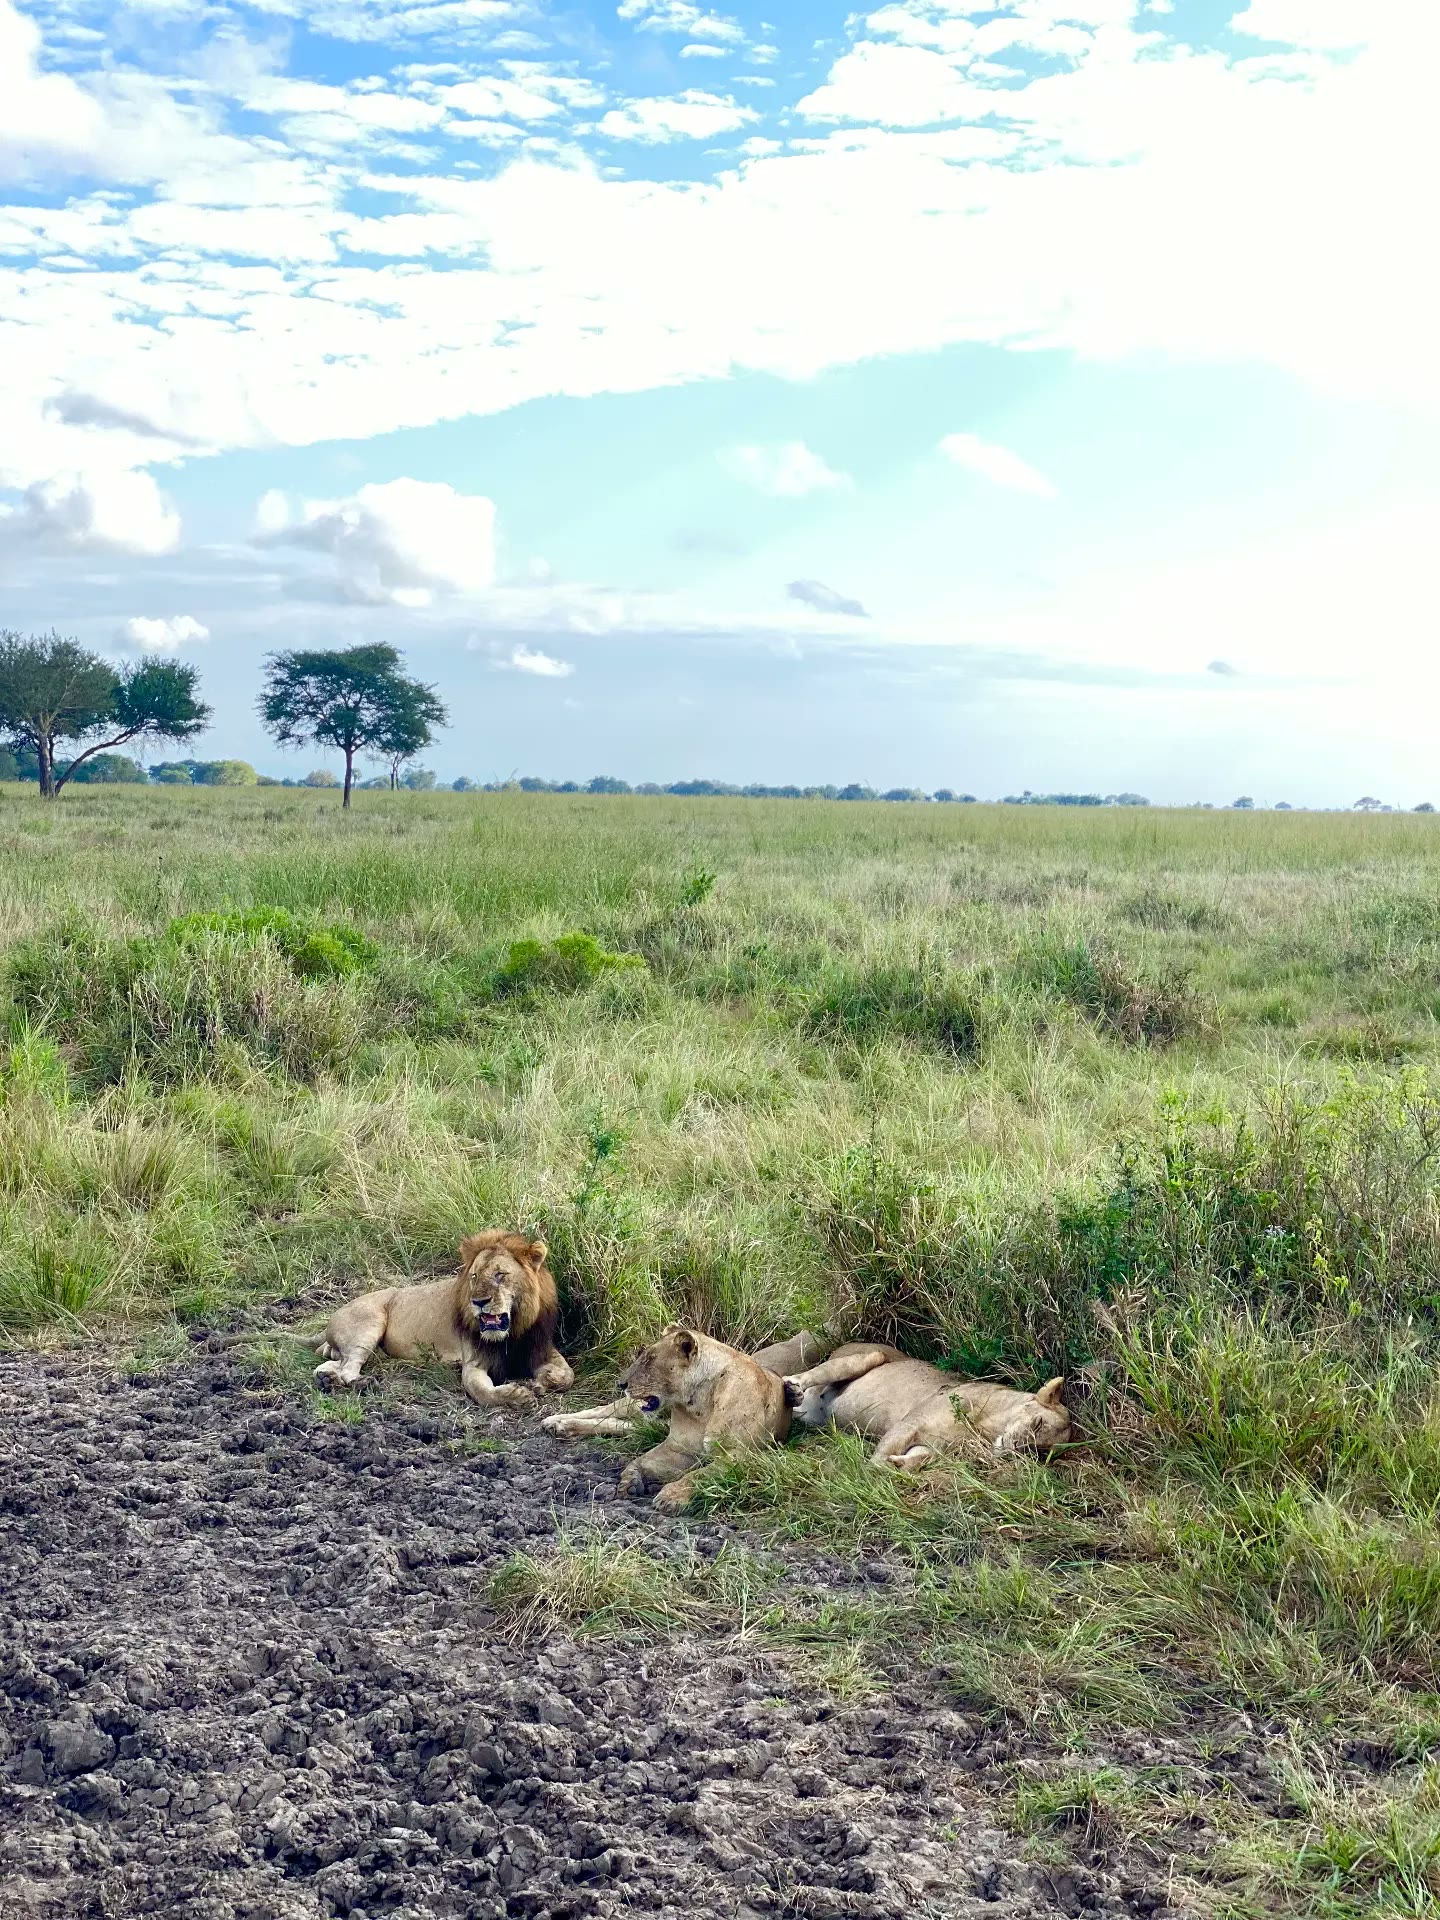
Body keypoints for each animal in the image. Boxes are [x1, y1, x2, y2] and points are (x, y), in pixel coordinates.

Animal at [313, 1231, 573, 1410]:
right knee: (348, 1368)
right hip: (369, 1324)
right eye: (474, 1276)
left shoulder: (540, 1348)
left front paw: (541, 1381)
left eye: (500, 1275)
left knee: (334, 1364)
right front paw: (518, 1396)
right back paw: (361, 1383)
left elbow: (568, 1376)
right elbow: (482, 1392)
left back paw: (327, 1379)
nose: (478, 1301)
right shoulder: (474, 1363)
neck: (513, 1333)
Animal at [541, 1325, 797, 1511]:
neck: (700, 1402)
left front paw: (671, 1497)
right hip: (635, 1407)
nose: (621, 1384)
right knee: (604, 1411)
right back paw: (556, 1422)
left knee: (621, 1424)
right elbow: (642, 1460)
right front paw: (631, 1480)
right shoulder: (678, 1447)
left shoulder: (738, 1454)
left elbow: (700, 1474)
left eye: (649, 1361)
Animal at [785, 1343, 1071, 1467]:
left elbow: (920, 1457)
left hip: (810, 1419)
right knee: (812, 1373)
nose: (1017, 1451)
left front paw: (900, 1465)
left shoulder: (934, 1447)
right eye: (1037, 1423)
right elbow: (880, 1457)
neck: (984, 1430)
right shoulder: (910, 1423)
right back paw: (792, 1388)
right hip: (869, 1355)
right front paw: (875, 1474)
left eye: (1039, 1453)